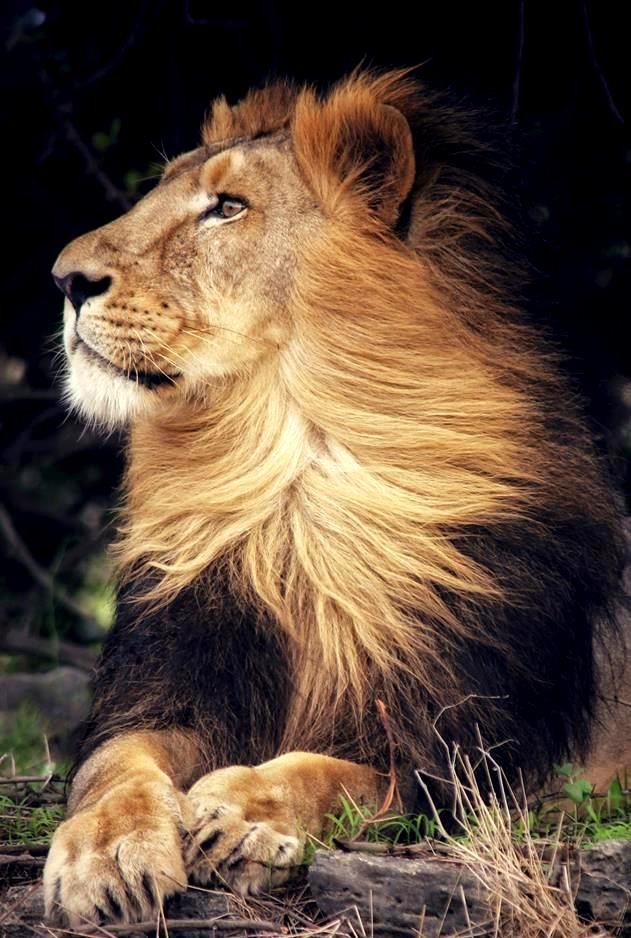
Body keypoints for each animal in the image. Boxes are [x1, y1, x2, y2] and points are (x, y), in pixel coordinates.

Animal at [44, 67, 627, 926]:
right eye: (161, 189)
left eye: (228, 207)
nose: (66, 279)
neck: (293, 485)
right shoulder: (167, 680)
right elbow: (115, 764)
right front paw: (106, 850)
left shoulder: (471, 754)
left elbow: (336, 773)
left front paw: (246, 811)